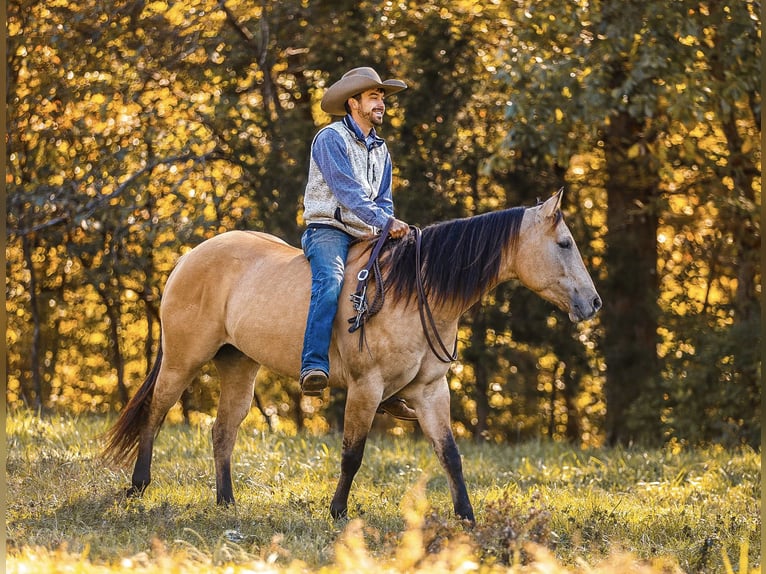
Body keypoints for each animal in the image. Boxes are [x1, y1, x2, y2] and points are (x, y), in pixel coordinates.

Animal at [103, 190, 608, 528]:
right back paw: (138, 487)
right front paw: (338, 511)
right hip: (183, 360)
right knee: (155, 413)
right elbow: (353, 453)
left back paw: (226, 503)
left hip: (239, 365)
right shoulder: (367, 387)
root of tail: (190, 257)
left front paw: (467, 518)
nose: (594, 303)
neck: (414, 292)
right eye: (564, 243)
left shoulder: (430, 391)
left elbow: (450, 455)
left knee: (222, 431)